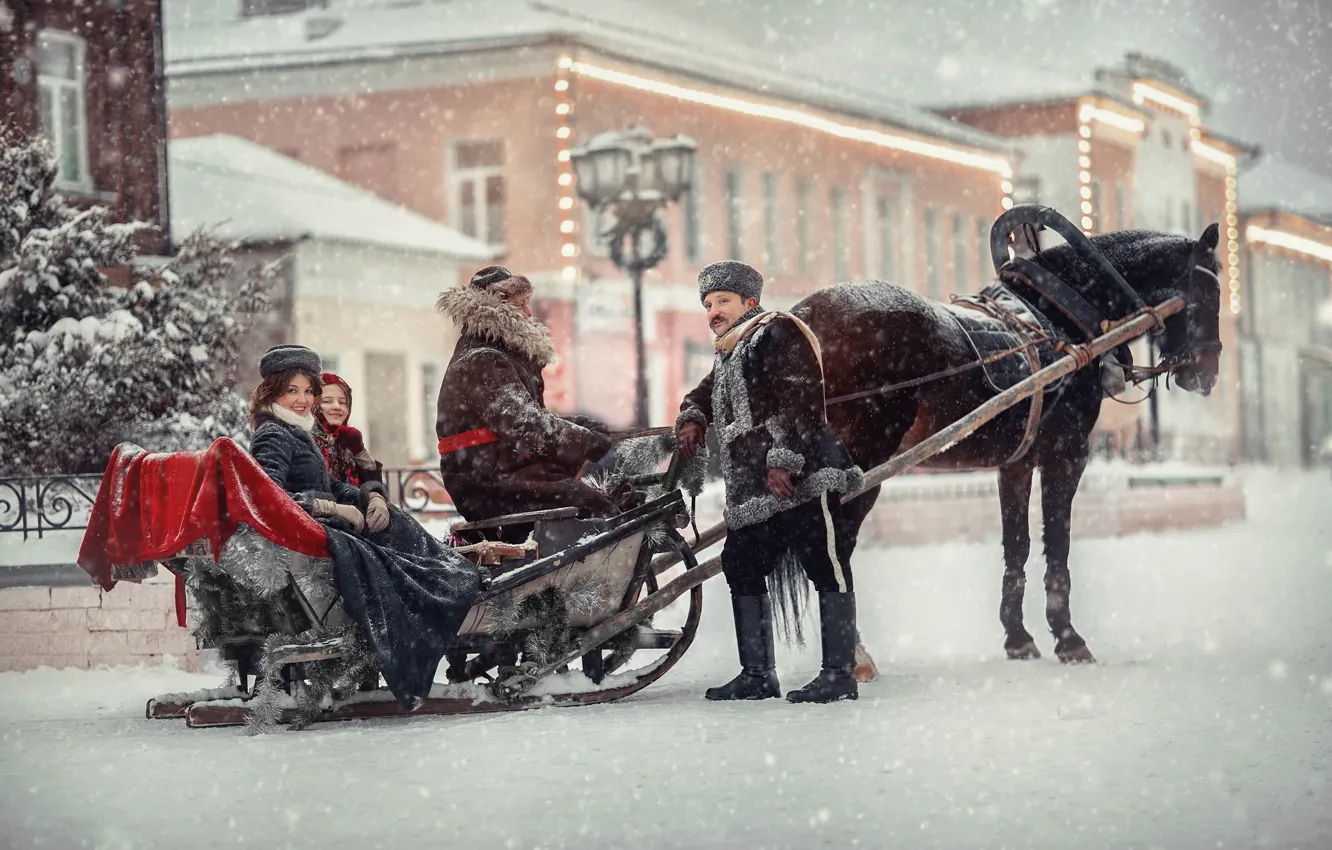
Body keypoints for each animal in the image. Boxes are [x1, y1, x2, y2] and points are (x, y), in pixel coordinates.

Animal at [793, 207, 1220, 666]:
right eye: (1212, 290)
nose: (1208, 374)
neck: (1063, 318)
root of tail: (801, 319)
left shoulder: (1015, 464)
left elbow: (1017, 544)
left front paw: (1018, 636)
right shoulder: (1067, 455)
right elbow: (1057, 544)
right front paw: (1068, 638)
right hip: (861, 469)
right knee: (837, 545)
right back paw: (853, 653)